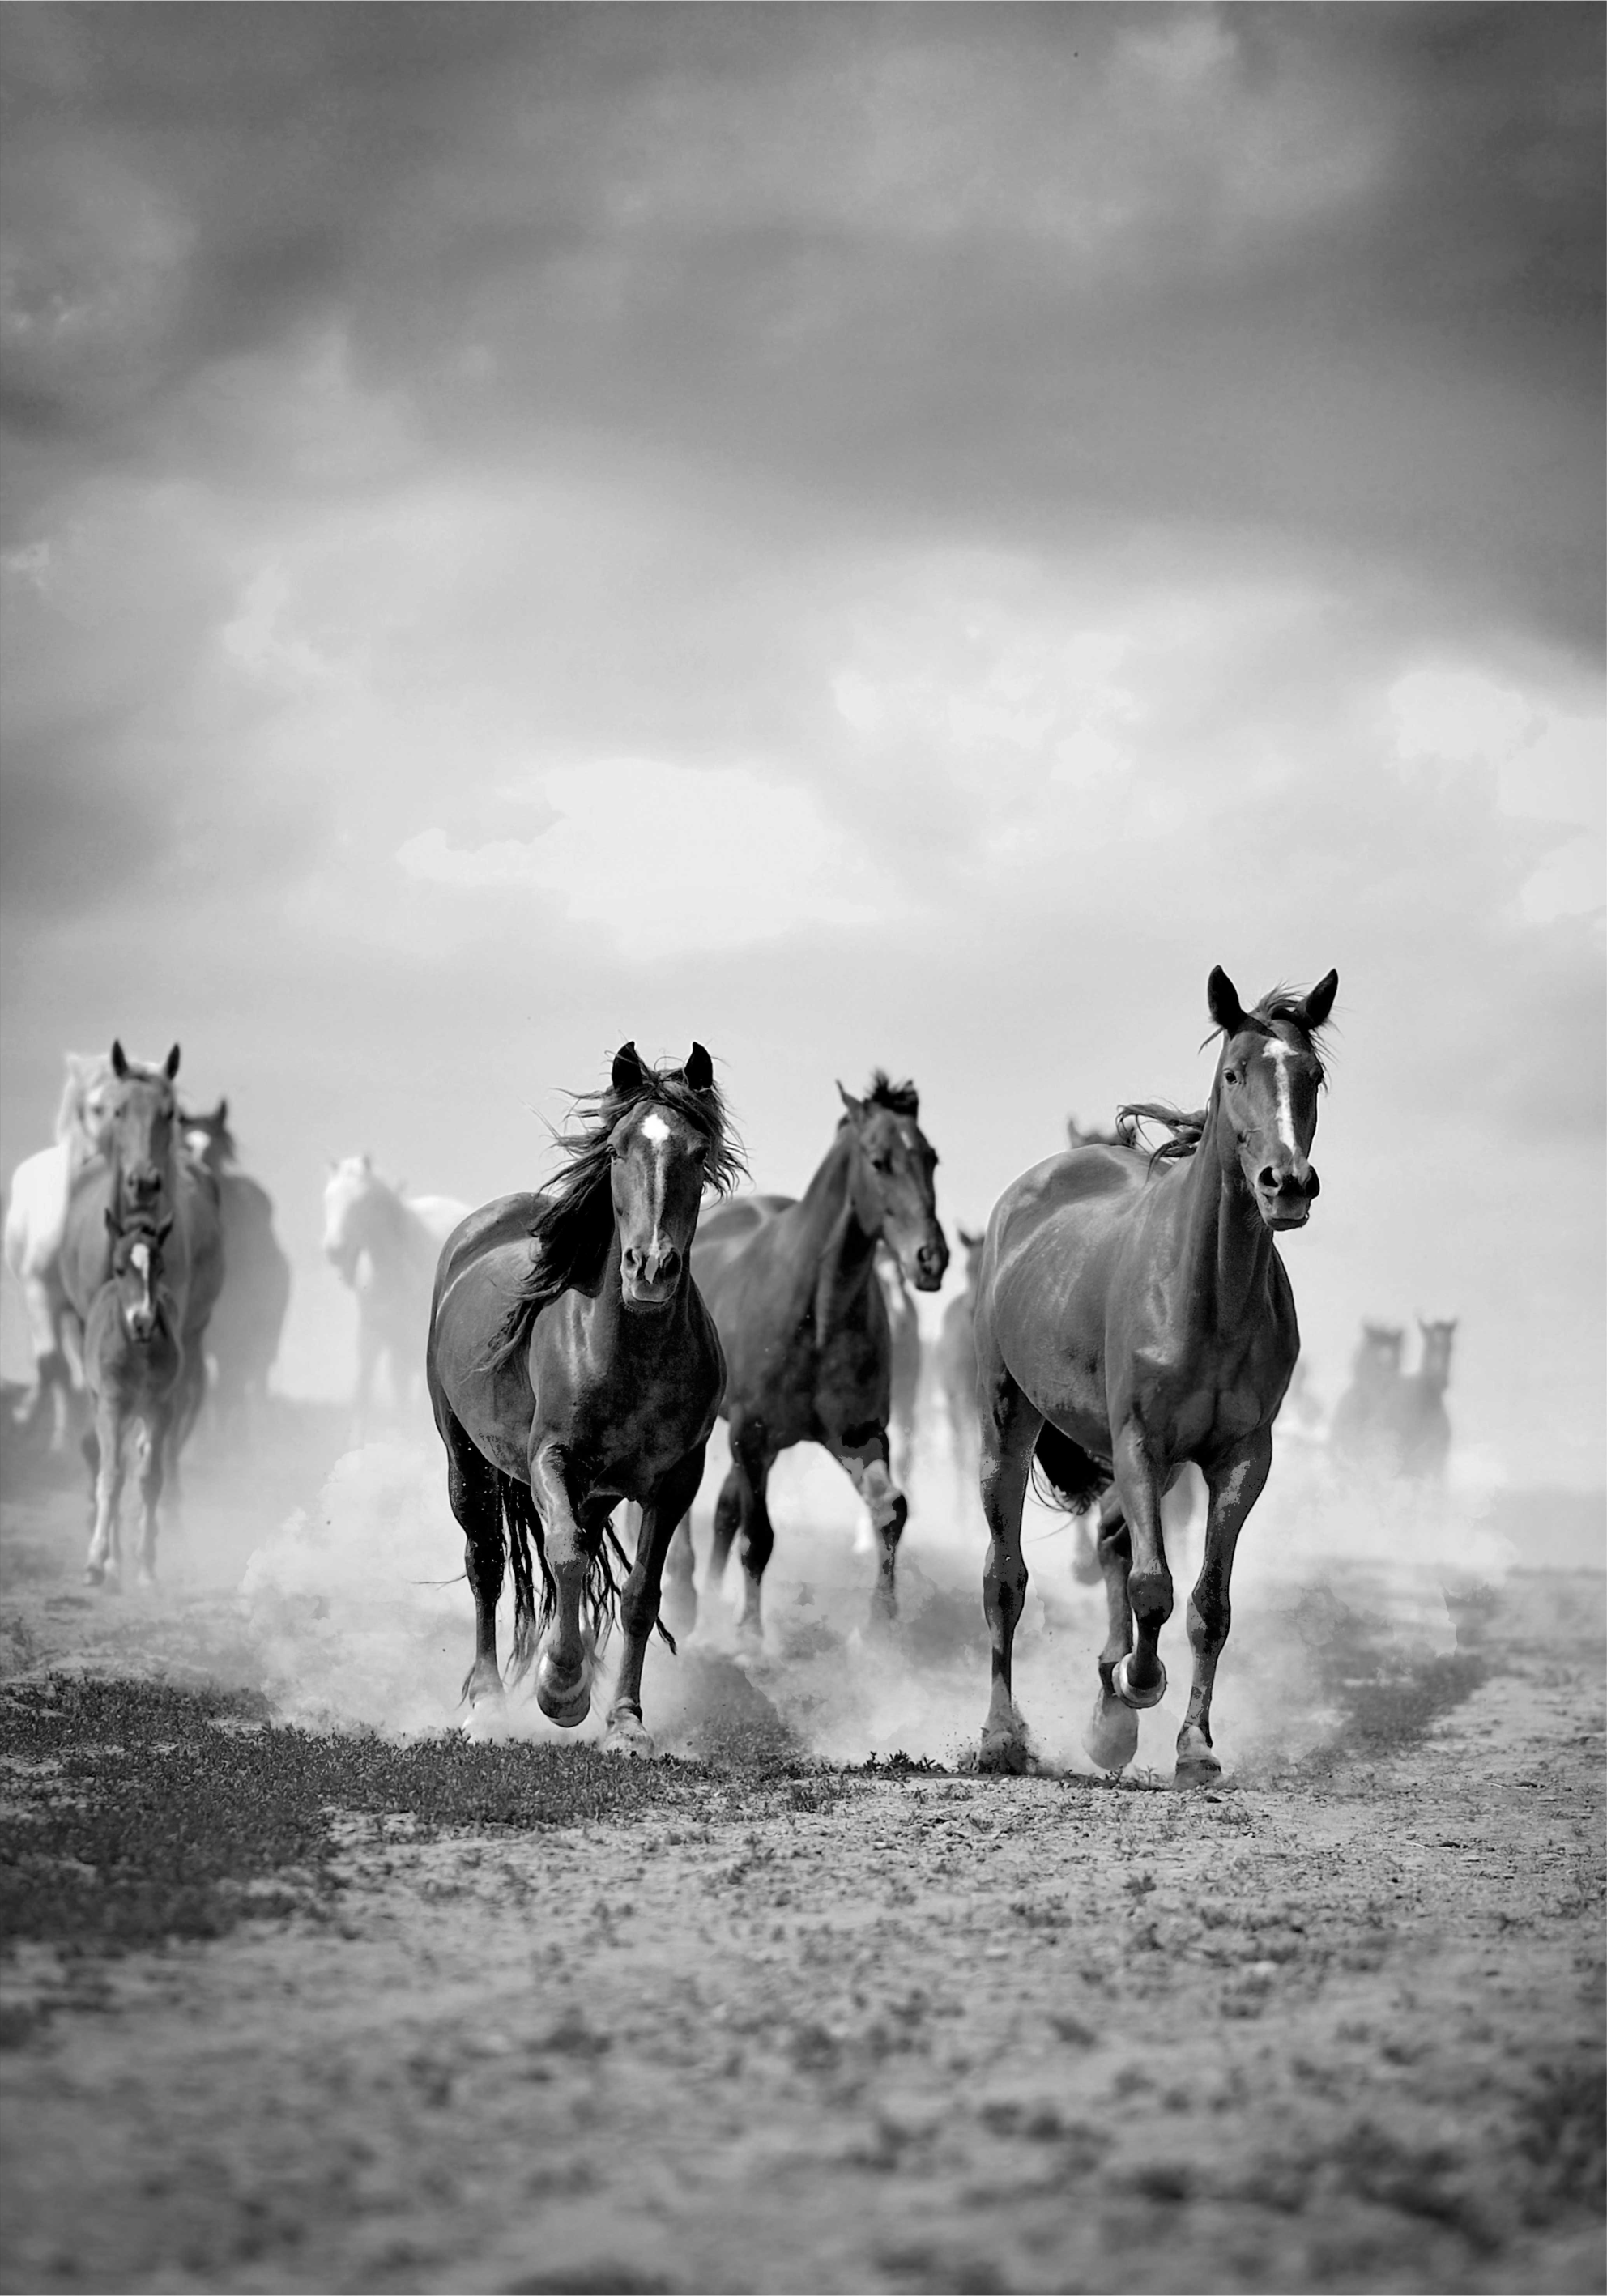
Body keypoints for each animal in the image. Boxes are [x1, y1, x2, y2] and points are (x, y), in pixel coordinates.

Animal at [58, 1043, 225, 1516]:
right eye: (117, 1110)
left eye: (169, 1113)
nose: (145, 1182)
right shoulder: (91, 1329)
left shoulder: (173, 1331)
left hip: (195, 1331)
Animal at [81, 1212, 183, 1586]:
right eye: (119, 1268)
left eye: (161, 1268)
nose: (142, 1321)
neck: (138, 1353)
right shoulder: (112, 1407)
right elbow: (111, 1477)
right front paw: (96, 1563)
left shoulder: (161, 1408)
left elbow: (150, 1479)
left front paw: (147, 1567)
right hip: (104, 1407)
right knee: (114, 1466)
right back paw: (111, 1563)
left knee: (135, 1459)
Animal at [427, 1043, 742, 1752]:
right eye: (619, 1149)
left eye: (697, 1150)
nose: (649, 1268)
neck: (631, 1356)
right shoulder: (552, 1459)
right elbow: (566, 1555)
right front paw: (563, 1688)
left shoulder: (676, 1481)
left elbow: (640, 1594)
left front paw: (624, 1720)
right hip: (465, 1457)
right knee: (487, 1561)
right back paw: (487, 1705)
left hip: (596, 1494)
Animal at [667, 1072, 948, 1642]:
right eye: (878, 1160)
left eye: (931, 1158)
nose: (930, 1259)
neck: (817, 1314)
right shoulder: (749, 1435)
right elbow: (759, 1536)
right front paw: (749, 1637)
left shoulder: (858, 1435)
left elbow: (890, 1510)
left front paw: (881, 1627)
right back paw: (685, 1599)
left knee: (725, 1510)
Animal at [970, 965, 1338, 1783]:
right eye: (1234, 1072)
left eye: (1313, 1075)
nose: (1288, 1184)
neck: (1207, 1297)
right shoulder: (1139, 1438)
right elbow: (1152, 1586)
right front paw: (1139, 1683)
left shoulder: (1242, 1457)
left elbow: (1208, 1603)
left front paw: (1193, 1745)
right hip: (1008, 1417)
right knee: (1005, 1576)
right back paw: (1003, 1734)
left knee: (1112, 1540)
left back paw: (1106, 1713)